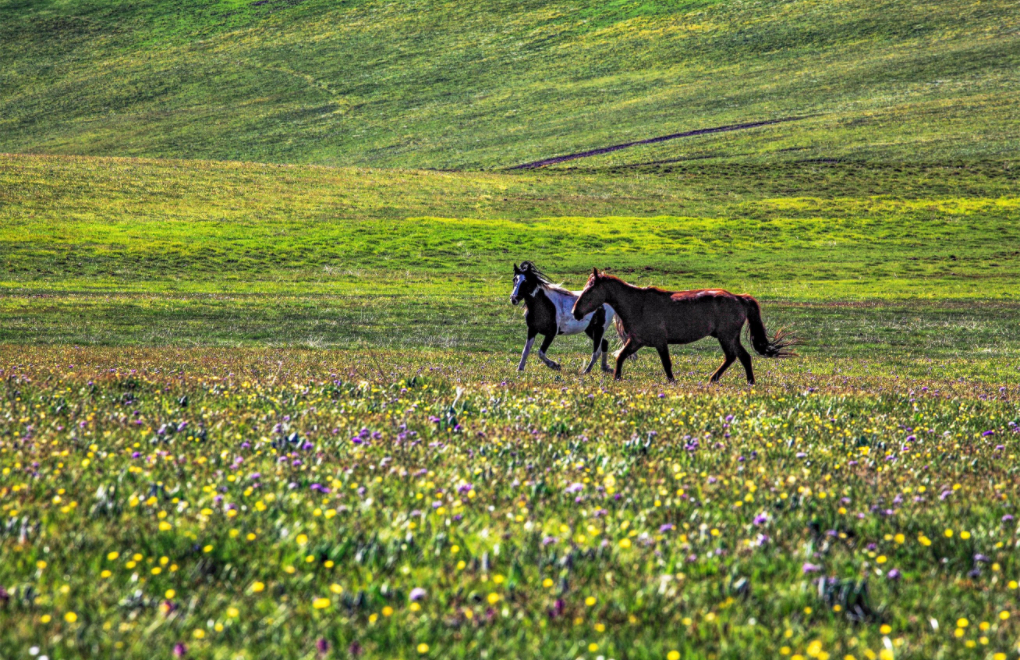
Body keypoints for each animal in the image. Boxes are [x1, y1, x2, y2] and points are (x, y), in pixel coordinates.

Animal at [571, 267, 791, 381]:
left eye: (589, 290)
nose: (575, 312)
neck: (638, 305)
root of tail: (738, 298)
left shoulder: (660, 342)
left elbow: (666, 364)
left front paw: (672, 382)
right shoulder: (637, 341)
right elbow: (621, 357)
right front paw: (617, 378)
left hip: (727, 336)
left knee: (737, 357)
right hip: (729, 337)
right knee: (740, 357)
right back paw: (729, 381)